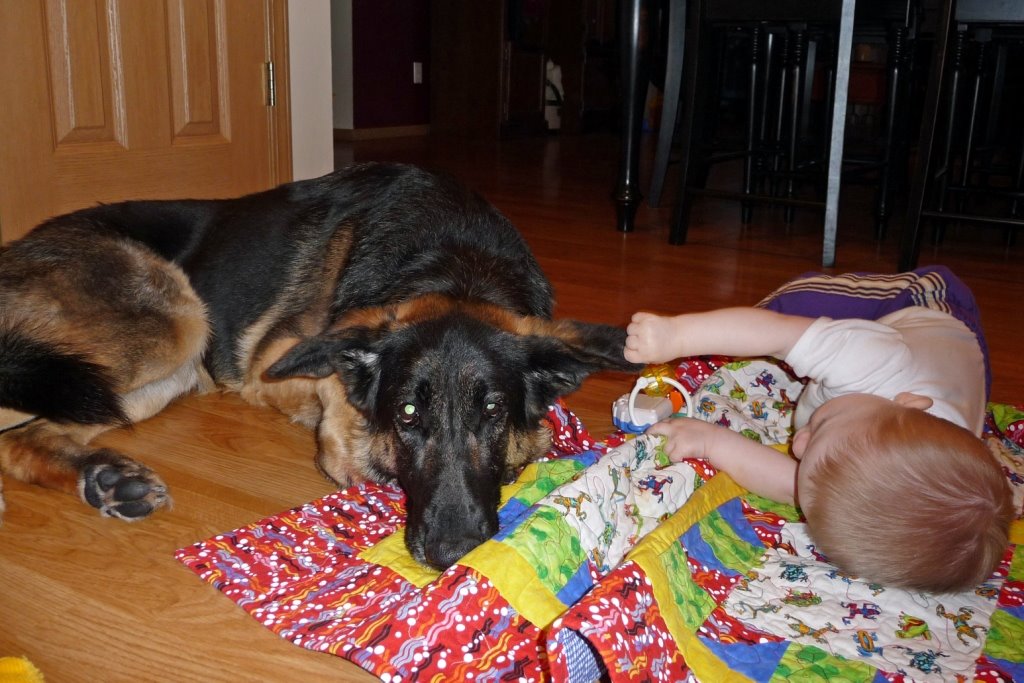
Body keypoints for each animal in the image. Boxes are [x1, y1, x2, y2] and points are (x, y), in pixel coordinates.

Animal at [0, 162, 639, 568]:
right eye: (407, 414)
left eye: (495, 413)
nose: (450, 554)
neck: (458, 264)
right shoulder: (270, 360)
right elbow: (335, 374)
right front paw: (351, 446)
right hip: (174, 323)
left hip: (140, 378)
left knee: (24, 438)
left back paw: (103, 478)